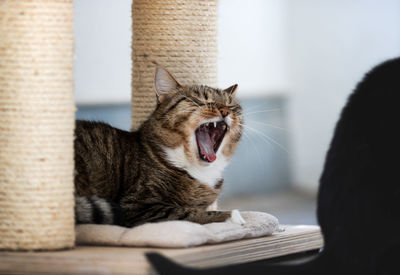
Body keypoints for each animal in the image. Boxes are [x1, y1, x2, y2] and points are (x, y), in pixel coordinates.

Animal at [73, 66, 245, 227]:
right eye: (200, 101)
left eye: (231, 106)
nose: (225, 110)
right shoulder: (137, 206)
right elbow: (187, 213)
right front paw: (231, 215)